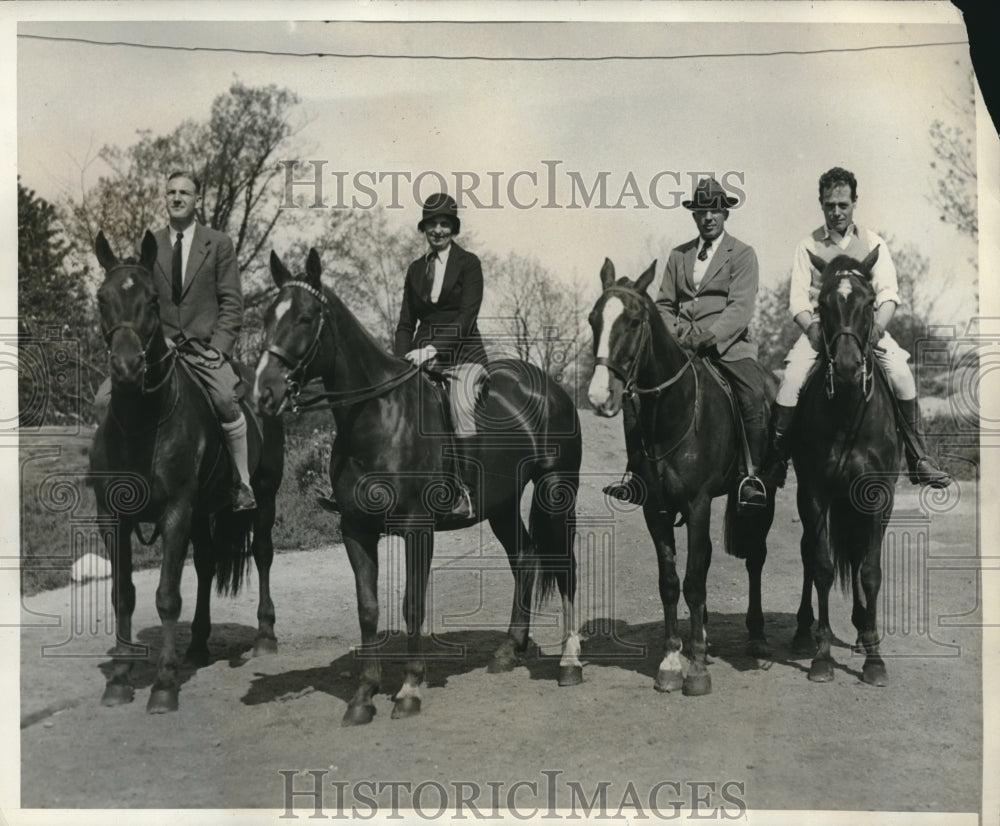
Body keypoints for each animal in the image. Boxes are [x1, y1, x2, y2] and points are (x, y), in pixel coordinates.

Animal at [90, 230, 286, 708]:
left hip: (264, 497)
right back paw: (197, 645)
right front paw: (120, 678)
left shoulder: (175, 512)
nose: (127, 367)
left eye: (152, 300)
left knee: (263, 553)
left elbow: (166, 596)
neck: (141, 422)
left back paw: (265, 635)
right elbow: (123, 596)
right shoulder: (114, 520)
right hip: (202, 512)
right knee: (208, 565)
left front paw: (163, 685)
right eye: (102, 298)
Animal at [252, 248, 584, 724]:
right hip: (501, 505)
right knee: (523, 558)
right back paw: (508, 649)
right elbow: (368, 607)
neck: (376, 418)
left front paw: (409, 688)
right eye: (266, 316)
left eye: (305, 317)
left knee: (566, 565)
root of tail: (549, 386)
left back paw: (570, 663)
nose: (263, 393)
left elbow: (412, 604)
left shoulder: (416, 528)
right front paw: (364, 695)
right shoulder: (355, 530)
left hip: (557, 490)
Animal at [584, 260, 772, 696]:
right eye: (592, 320)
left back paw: (755, 636)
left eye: (634, 321)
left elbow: (694, 581)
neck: (675, 409)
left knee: (755, 559)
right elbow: (671, 581)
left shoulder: (698, 503)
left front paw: (698, 667)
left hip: (765, 495)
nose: (600, 397)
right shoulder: (656, 509)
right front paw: (672, 660)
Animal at [788, 248, 900, 684]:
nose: (850, 368)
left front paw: (874, 658)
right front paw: (821, 657)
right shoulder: (815, 493)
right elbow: (821, 565)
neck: (850, 412)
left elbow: (869, 570)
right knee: (808, 553)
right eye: (822, 304)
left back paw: (862, 632)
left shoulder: (877, 496)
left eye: (869, 303)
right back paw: (805, 632)